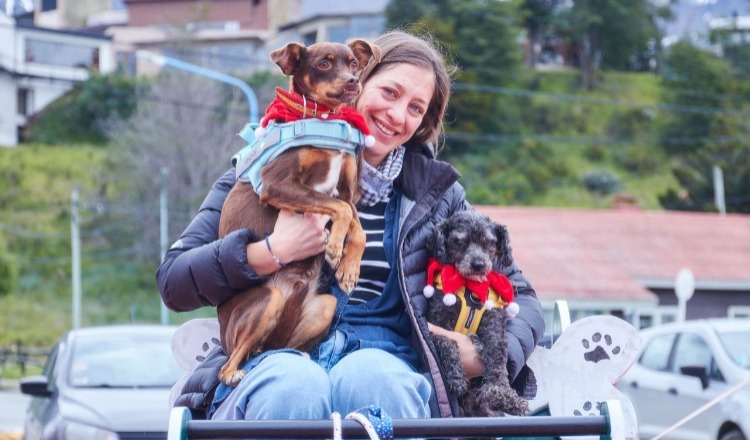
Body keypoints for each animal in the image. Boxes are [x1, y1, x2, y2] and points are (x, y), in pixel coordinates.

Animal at [216, 40, 380, 386]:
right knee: (230, 365)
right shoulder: (277, 186)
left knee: (273, 346)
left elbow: (356, 225)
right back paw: (235, 372)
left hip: (324, 306)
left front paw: (349, 268)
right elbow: (339, 210)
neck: (324, 120)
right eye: (323, 64)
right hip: (269, 301)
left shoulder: (347, 192)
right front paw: (335, 246)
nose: (352, 81)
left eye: (353, 63)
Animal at [423, 211, 530, 417]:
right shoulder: (436, 324)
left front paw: (504, 396)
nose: (478, 264)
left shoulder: (493, 327)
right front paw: (455, 377)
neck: (469, 286)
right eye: (459, 242)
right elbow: (446, 342)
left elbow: (497, 363)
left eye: (488, 242)